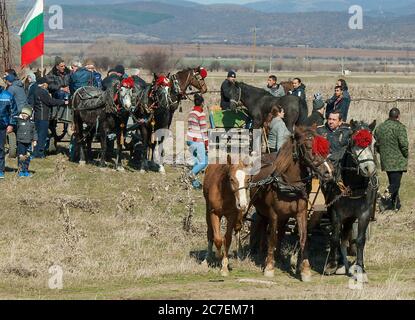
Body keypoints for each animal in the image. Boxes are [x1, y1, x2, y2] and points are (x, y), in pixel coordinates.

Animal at [250, 126, 334, 282]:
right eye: (309, 147)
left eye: (325, 148)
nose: (328, 172)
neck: (289, 184)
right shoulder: (273, 214)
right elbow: (272, 237)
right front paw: (269, 267)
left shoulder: (301, 213)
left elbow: (303, 239)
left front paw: (305, 271)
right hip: (262, 212)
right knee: (263, 228)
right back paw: (261, 253)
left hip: (284, 216)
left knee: (281, 232)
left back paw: (278, 257)